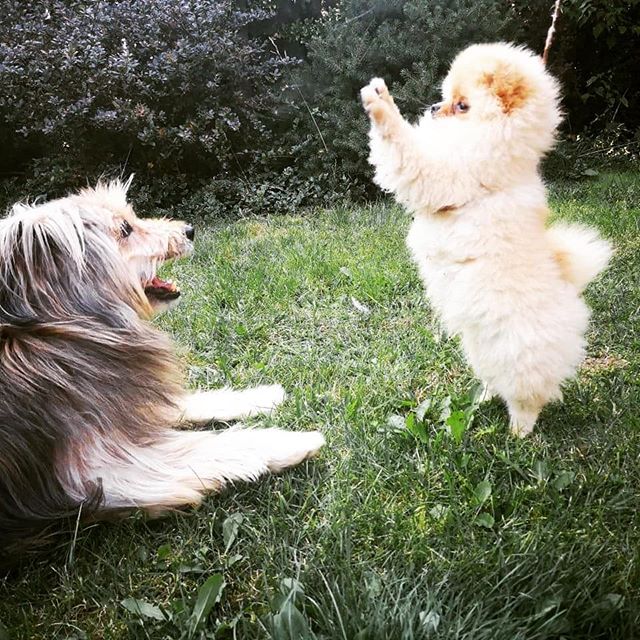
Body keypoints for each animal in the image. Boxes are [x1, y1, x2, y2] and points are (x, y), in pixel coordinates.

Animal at [0, 178, 322, 564]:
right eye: (125, 229)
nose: (189, 230)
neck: (59, 329)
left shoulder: (116, 396)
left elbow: (185, 403)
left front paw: (260, 396)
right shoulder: (98, 471)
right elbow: (210, 448)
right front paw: (292, 441)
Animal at [362, 42, 612, 438]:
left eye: (463, 105)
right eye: (447, 97)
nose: (434, 108)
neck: (496, 142)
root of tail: (569, 289)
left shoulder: (444, 173)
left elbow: (404, 147)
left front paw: (380, 104)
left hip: (520, 355)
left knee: (528, 396)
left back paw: (519, 432)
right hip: (482, 346)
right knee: (495, 377)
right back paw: (484, 398)